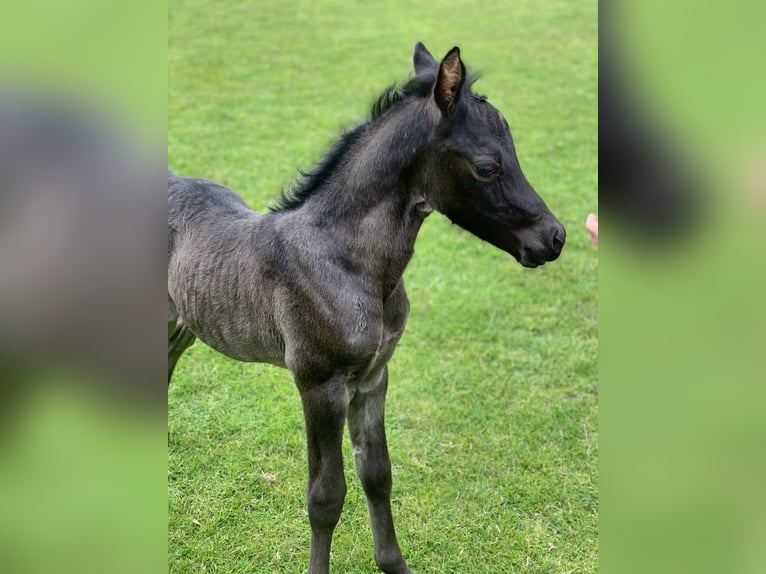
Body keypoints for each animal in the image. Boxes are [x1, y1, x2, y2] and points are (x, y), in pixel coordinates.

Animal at [168, 42, 565, 574]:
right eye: (487, 166)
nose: (555, 238)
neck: (350, 264)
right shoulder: (320, 383)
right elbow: (325, 495)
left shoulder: (374, 377)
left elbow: (377, 473)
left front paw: (394, 563)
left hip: (182, 322)